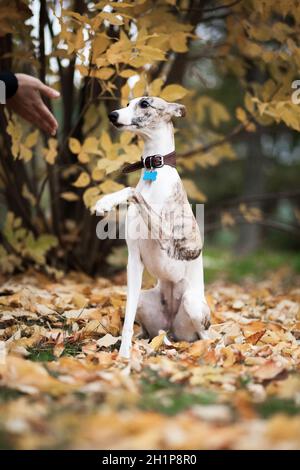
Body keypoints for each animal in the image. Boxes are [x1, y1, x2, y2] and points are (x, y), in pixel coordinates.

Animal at [95, 97, 210, 358]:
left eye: (145, 104)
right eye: (128, 103)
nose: (112, 115)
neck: (153, 171)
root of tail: (171, 328)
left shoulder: (168, 239)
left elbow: (131, 191)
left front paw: (105, 202)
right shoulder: (133, 259)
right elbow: (127, 320)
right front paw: (124, 355)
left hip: (193, 306)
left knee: (206, 336)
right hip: (143, 301)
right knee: (149, 329)